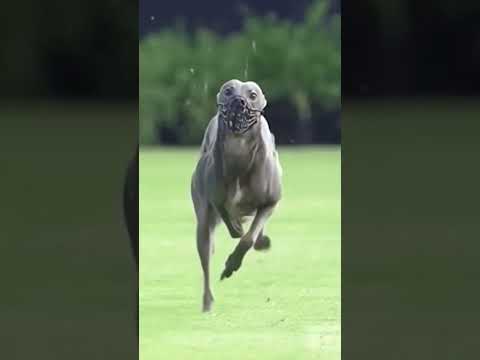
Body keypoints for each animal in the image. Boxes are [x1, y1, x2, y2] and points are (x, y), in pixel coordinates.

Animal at [190, 79, 282, 312]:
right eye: (228, 90)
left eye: (253, 94)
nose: (238, 101)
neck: (239, 152)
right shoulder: (217, 198)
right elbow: (232, 223)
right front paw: (237, 228)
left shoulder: (270, 202)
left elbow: (248, 238)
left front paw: (232, 264)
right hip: (203, 222)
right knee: (206, 255)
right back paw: (207, 302)